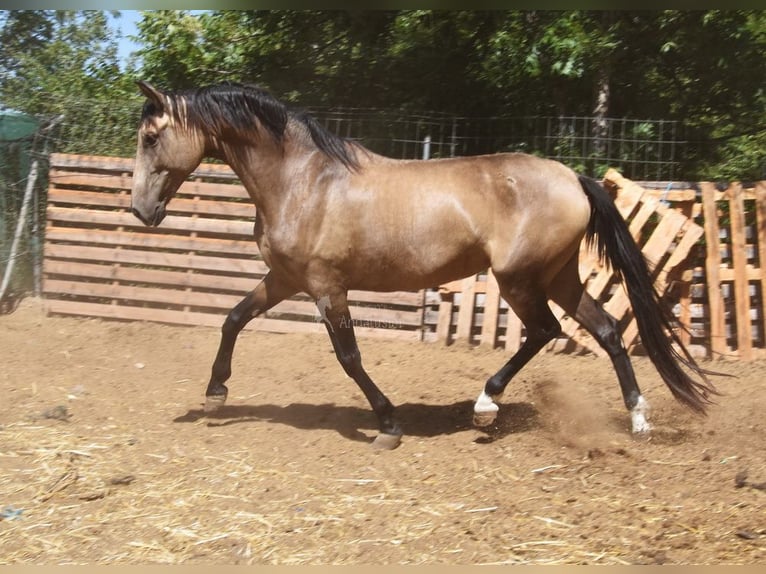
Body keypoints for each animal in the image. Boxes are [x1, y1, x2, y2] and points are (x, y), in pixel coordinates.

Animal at [130, 81, 720, 450]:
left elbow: (349, 356)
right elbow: (233, 318)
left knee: (544, 331)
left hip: (519, 279)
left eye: (151, 137)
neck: (305, 181)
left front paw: (389, 424)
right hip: (558, 276)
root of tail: (575, 177)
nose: (141, 210)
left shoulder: (325, 286)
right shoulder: (285, 279)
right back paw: (637, 419)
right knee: (607, 330)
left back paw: (486, 405)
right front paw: (215, 394)